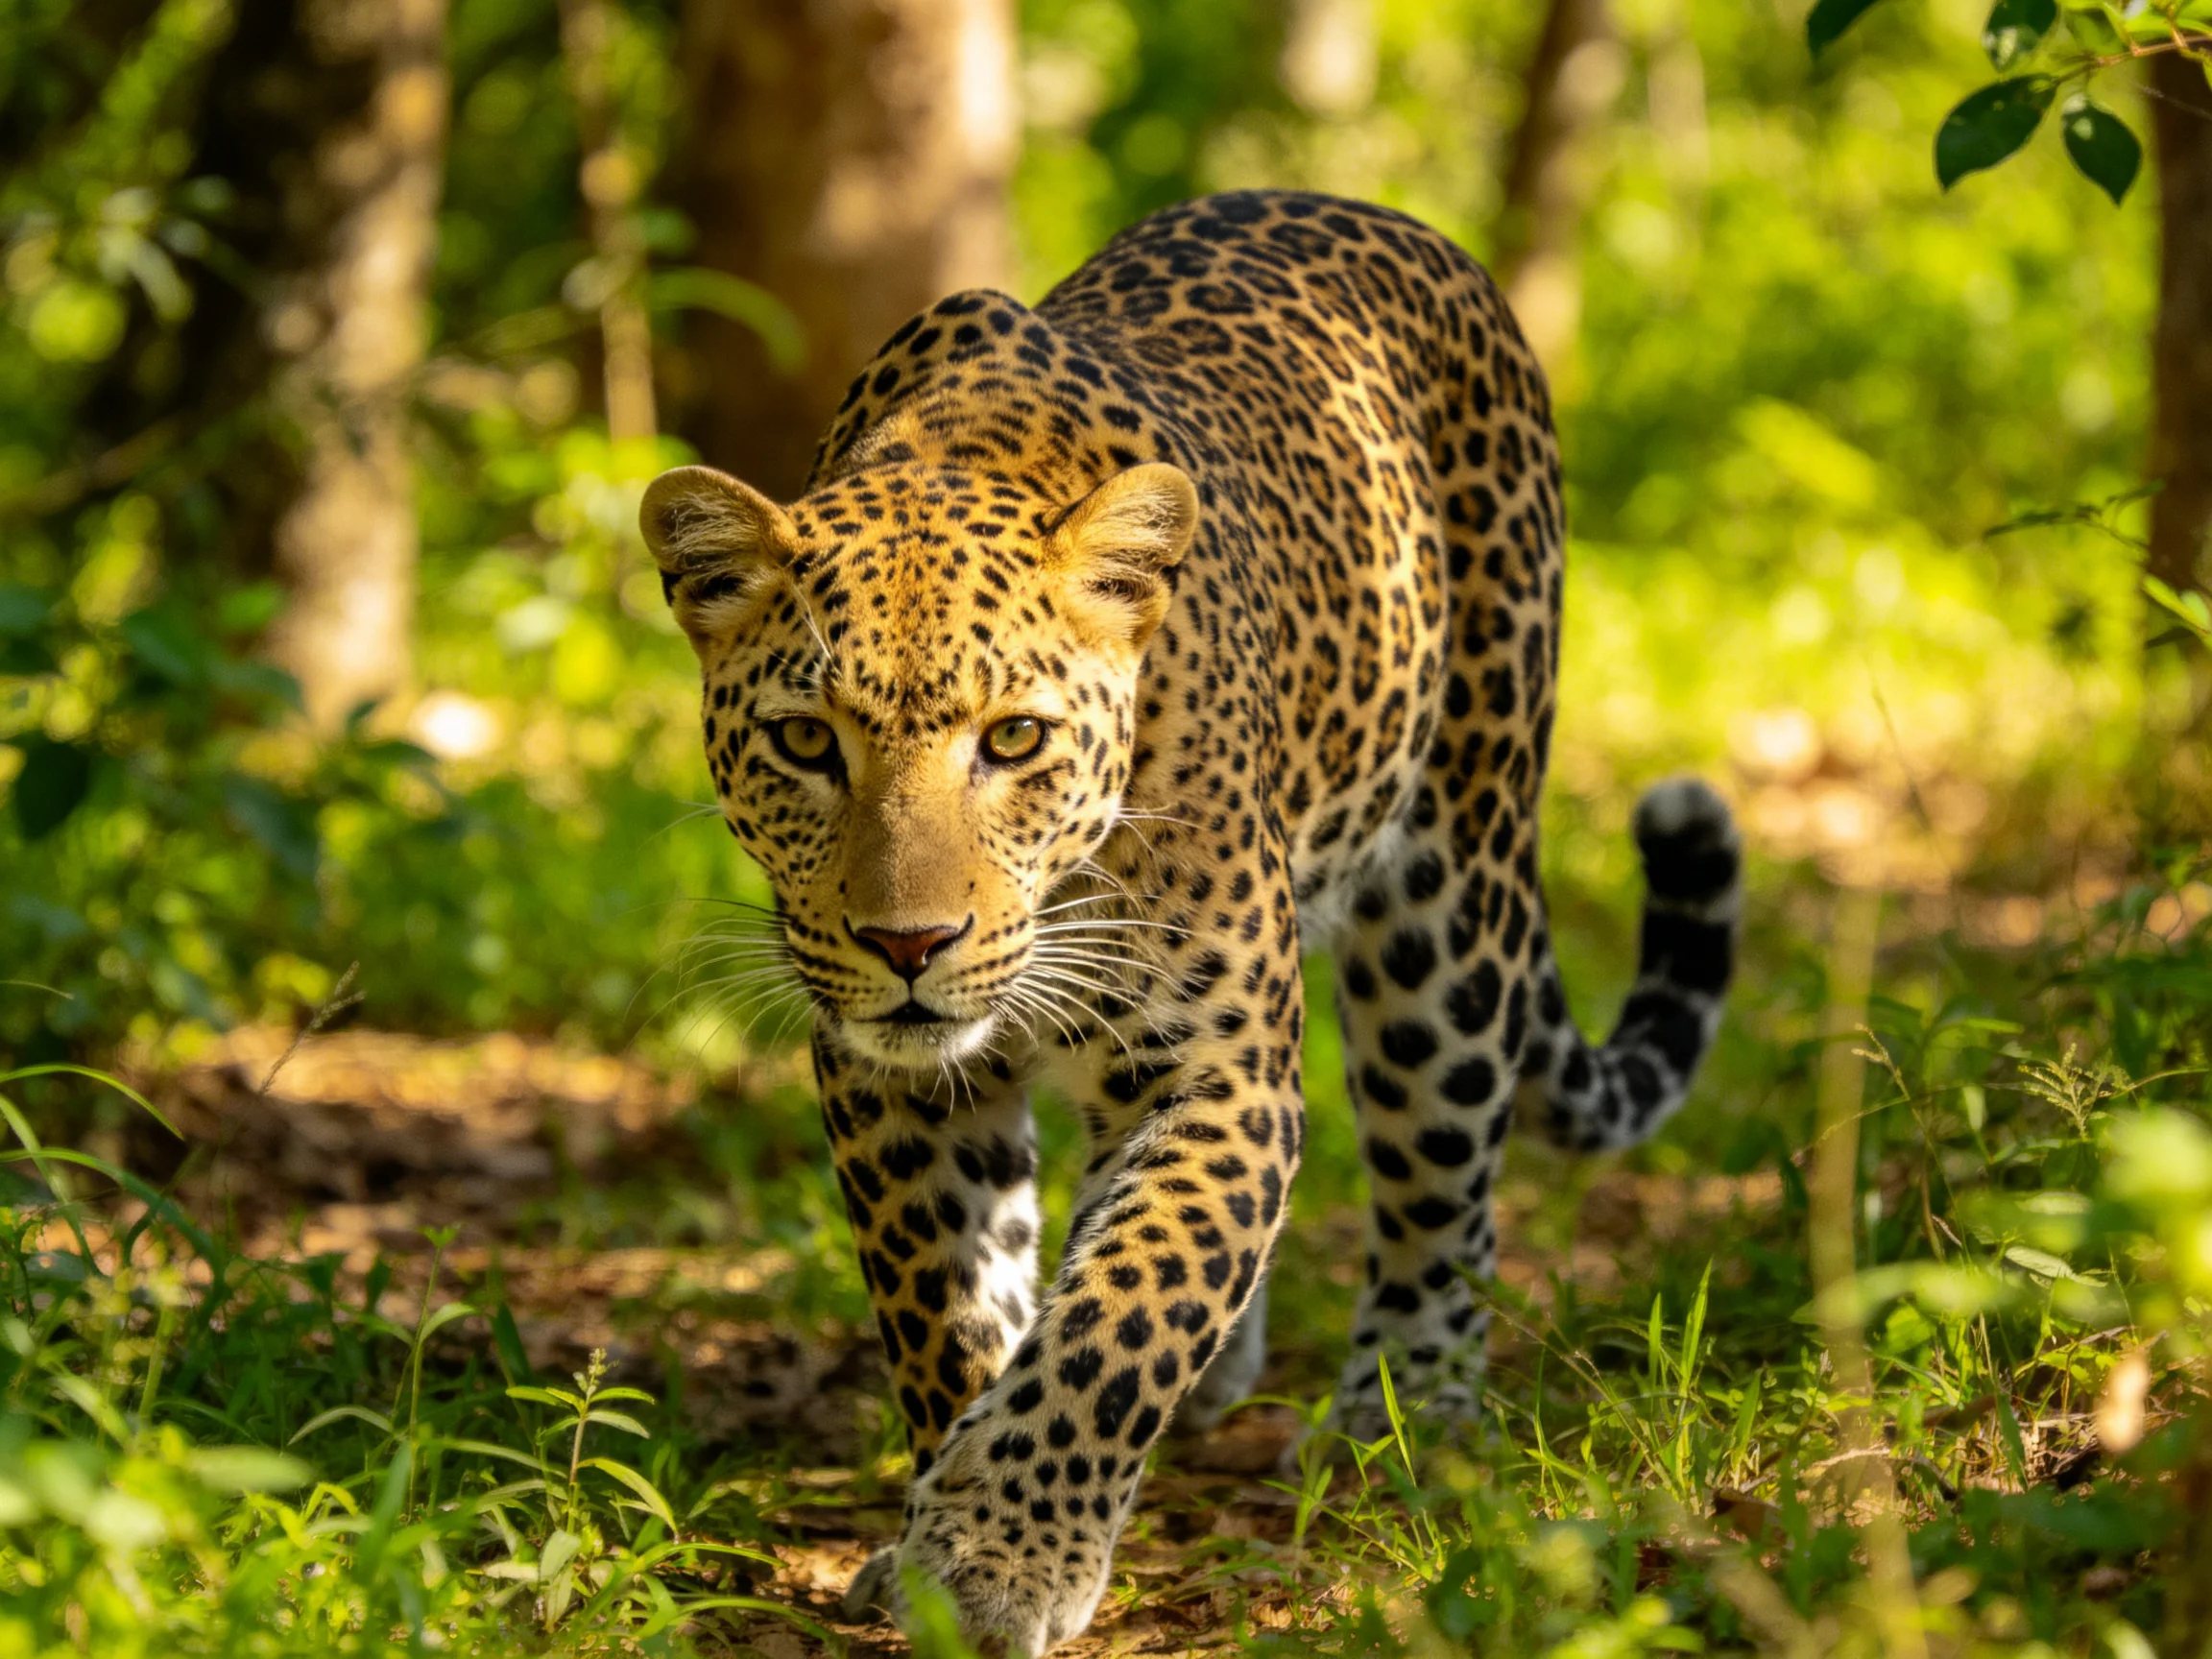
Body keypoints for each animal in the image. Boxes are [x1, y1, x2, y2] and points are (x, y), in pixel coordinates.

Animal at [639, 189, 1742, 1654]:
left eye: (1015, 738)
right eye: (807, 742)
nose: (909, 947)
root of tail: (1382, 220)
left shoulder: (1218, 1070)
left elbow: (1129, 1308)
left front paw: (1004, 1555)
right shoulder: (888, 1077)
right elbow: (950, 1304)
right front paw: (943, 1522)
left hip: (1454, 890)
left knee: (1445, 1180)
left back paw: (1400, 1424)